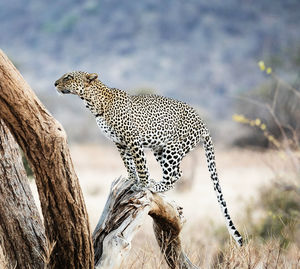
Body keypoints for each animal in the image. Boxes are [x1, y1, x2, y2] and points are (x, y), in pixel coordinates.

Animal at [54, 70, 243, 245]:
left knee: (174, 175)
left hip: (172, 148)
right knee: (178, 173)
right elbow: (128, 163)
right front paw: (131, 179)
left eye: (68, 77)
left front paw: (142, 185)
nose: (55, 83)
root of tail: (202, 122)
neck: (94, 103)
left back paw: (155, 185)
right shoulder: (120, 143)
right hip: (160, 149)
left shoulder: (133, 139)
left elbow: (141, 165)